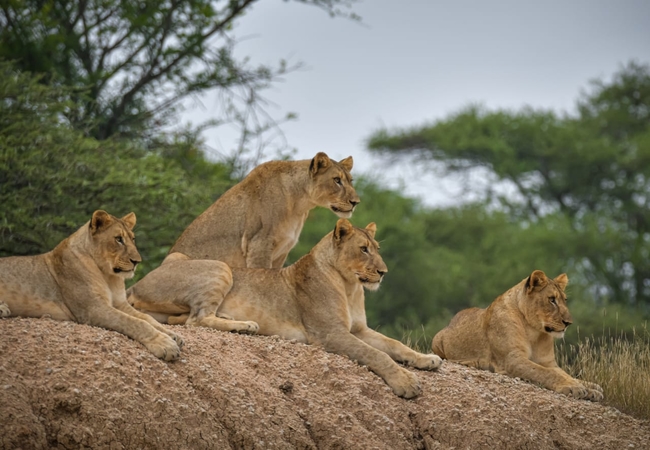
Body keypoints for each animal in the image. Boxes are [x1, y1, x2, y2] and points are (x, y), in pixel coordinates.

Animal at [0, 210, 183, 361]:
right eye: (118, 239)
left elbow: (147, 317)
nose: (137, 261)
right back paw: (3, 309)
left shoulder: (120, 303)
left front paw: (173, 335)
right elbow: (135, 322)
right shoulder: (93, 308)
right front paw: (165, 344)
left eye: (132, 239)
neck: (109, 276)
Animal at [129, 219, 443, 398]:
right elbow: (377, 355)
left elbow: (394, 345)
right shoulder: (330, 334)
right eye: (363, 249)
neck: (350, 286)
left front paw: (427, 359)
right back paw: (245, 326)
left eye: (377, 248)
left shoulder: (359, 330)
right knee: (197, 319)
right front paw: (405, 382)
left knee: (182, 318)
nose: (383, 272)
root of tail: (135, 284)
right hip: (217, 266)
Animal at [431, 270, 603, 401]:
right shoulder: (513, 359)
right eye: (552, 300)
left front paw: (590, 389)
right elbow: (547, 373)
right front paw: (574, 387)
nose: (568, 323)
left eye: (564, 300)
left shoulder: (548, 362)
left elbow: (564, 374)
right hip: (436, 339)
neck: (535, 332)